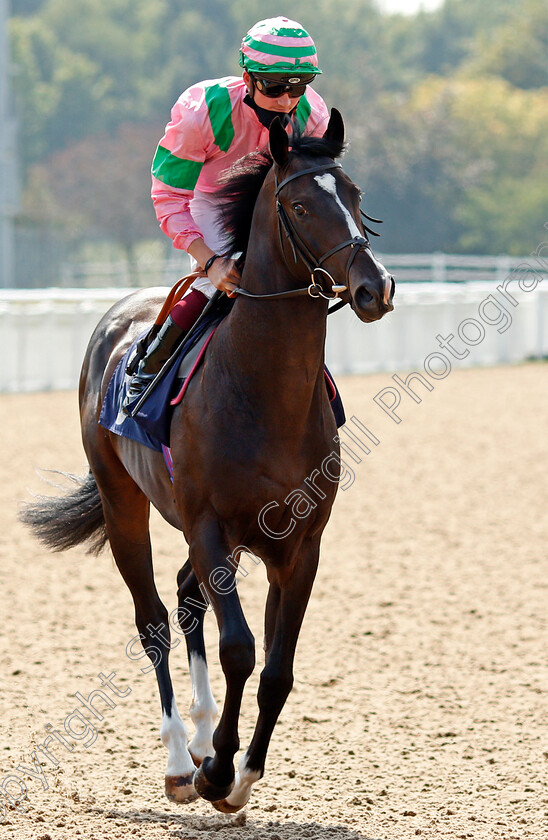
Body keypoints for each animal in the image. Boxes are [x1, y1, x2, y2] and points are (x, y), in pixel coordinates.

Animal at [21, 108, 396, 812]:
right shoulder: (210, 526)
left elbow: (277, 669)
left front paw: (239, 771)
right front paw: (217, 770)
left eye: (356, 194)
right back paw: (179, 758)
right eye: (300, 205)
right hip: (124, 502)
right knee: (154, 619)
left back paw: (198, 737)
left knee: (187, 597)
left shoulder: (299, 542)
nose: (374, 288)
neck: (262, 394)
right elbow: (239, 648)